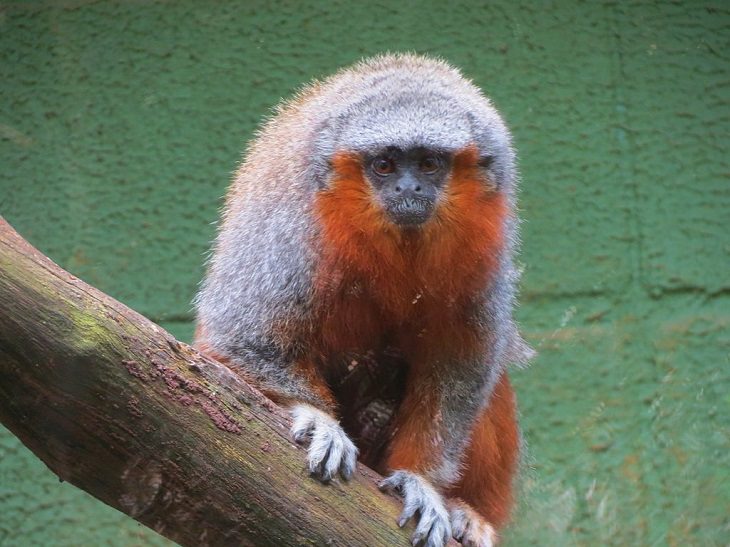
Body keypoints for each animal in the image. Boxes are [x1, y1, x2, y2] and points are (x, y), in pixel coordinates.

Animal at [195, 52, 528, 547]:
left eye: (429, 164)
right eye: (385, 166)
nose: (408, 189)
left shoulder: (488, 237)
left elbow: (463, 363)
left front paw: (422, 481)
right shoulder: (295, 223)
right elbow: (239, 335)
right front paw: (316, 417)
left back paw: (468, 511)